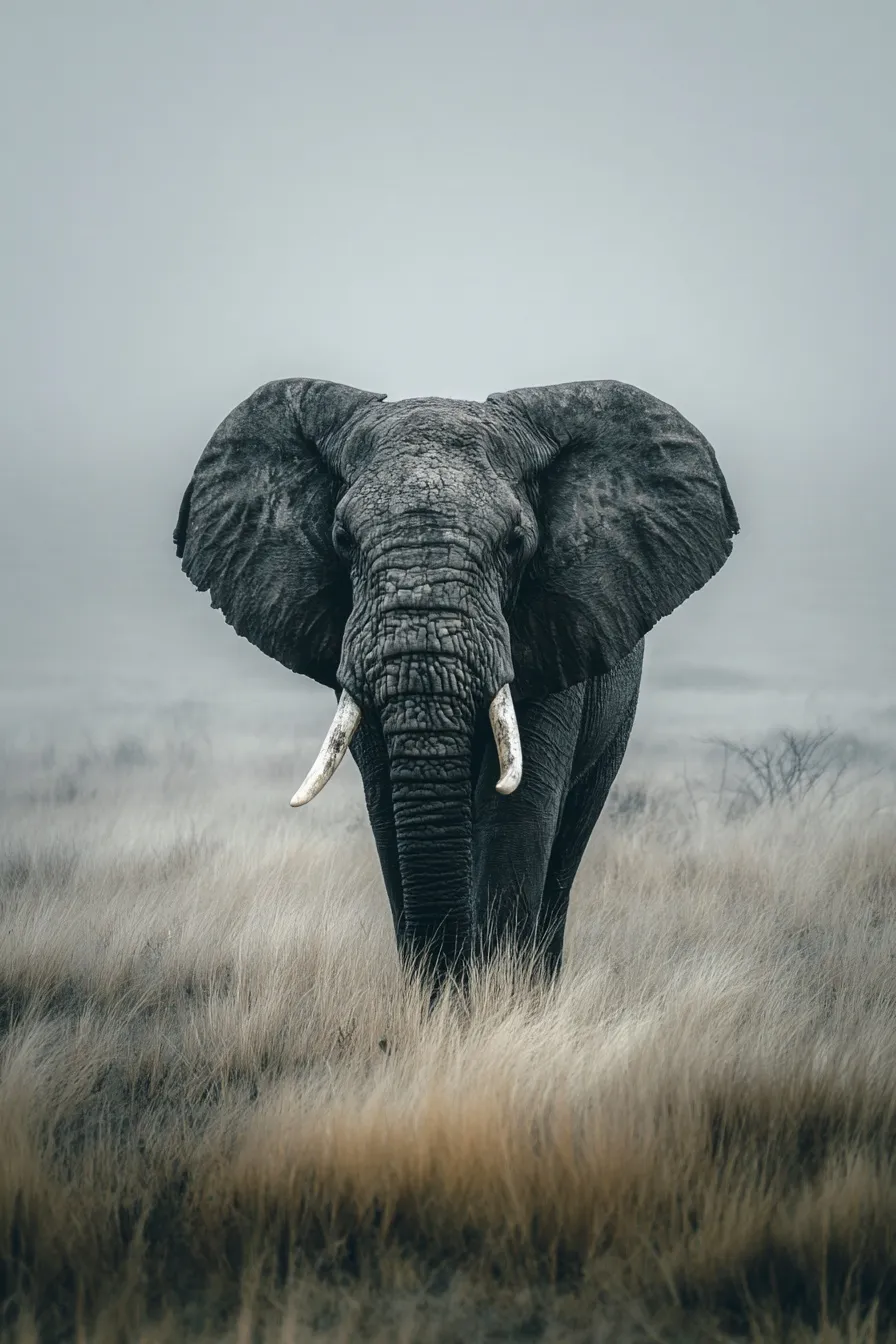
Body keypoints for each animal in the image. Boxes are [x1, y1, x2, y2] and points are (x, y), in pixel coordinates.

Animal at [173, 378, 738, 983]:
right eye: (343, 538)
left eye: (514, 542)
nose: (451, 980)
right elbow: (387, 804)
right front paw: (437, 992)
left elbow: (517, 807)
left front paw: (498, 992)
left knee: (569, 842)